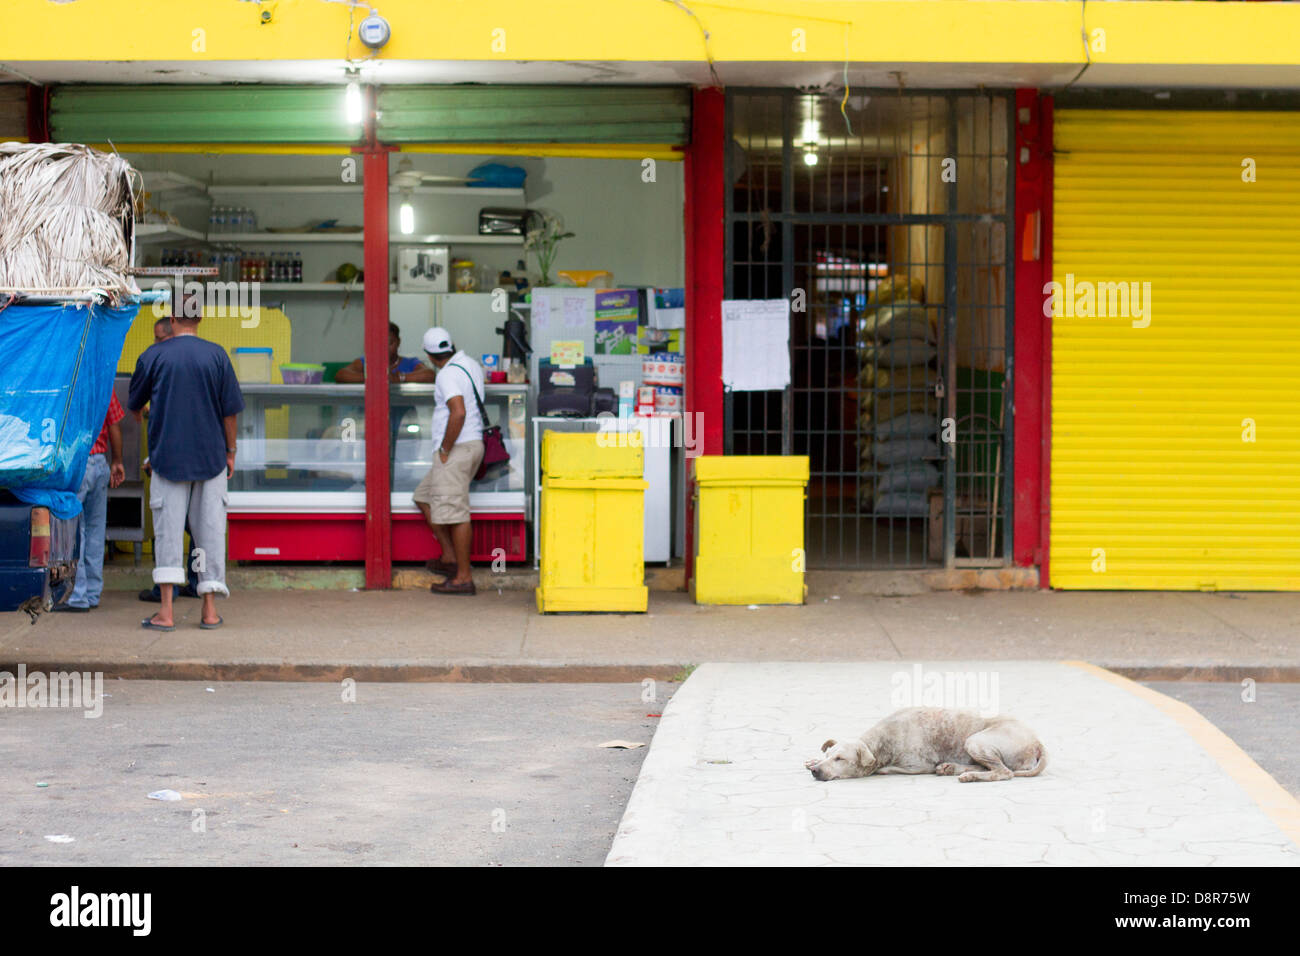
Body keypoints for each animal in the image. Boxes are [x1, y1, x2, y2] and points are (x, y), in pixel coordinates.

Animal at [806, 707, 1050, 780]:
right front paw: (812, 761)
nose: (816, 771)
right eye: (828, 756)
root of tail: (1038, 742)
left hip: (976, 741)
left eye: (840, 759)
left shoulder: (917, 766)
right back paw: (955, 768)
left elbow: (886, 769)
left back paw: (969, 775)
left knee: (1003, 772)